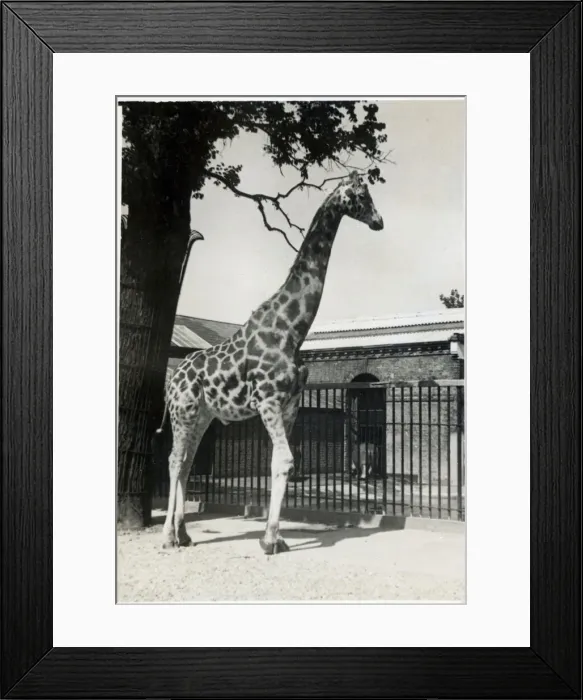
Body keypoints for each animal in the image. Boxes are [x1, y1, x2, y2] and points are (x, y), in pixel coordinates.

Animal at [158, 170, 384, 554]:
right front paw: (268, 539)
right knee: (174, 460)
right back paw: (167, 535)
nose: (379, 221)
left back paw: (184, 534)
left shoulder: (290, 404)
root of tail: (173, 379)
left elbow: (281, 462)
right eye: (361, 195)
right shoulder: (268, 402)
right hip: (183, 412)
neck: (292, 329)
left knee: (186, 462)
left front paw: (275, 538)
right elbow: (286, 461)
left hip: (203, 415)